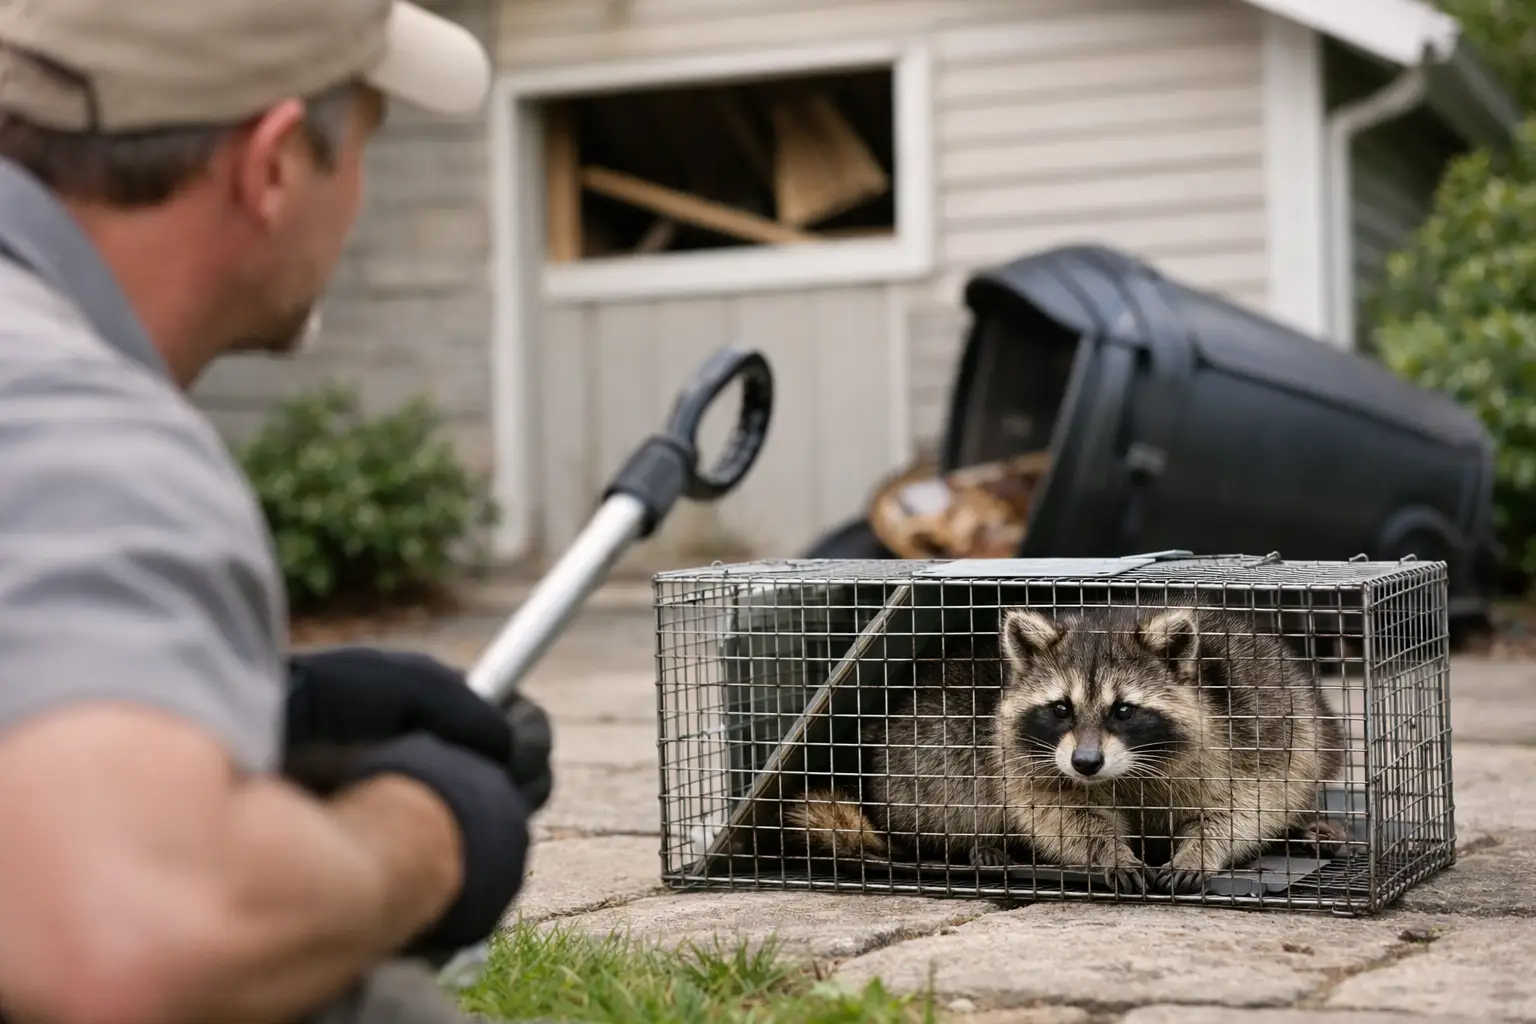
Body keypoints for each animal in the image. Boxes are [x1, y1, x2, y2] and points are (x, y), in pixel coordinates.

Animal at [787, 603, 1347, 893]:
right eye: (1060, 708)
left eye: (1124, 710)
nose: (1086, 763)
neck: (1127, 770)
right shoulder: (1024, 756)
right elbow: (1062, 813)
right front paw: (1109, 852)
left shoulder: (1251, 737)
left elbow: (1242, 809)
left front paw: (1202, 850)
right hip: (923, 739)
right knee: (946, 781)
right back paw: (976, 843)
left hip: (1308, 724)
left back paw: (1304, 827)